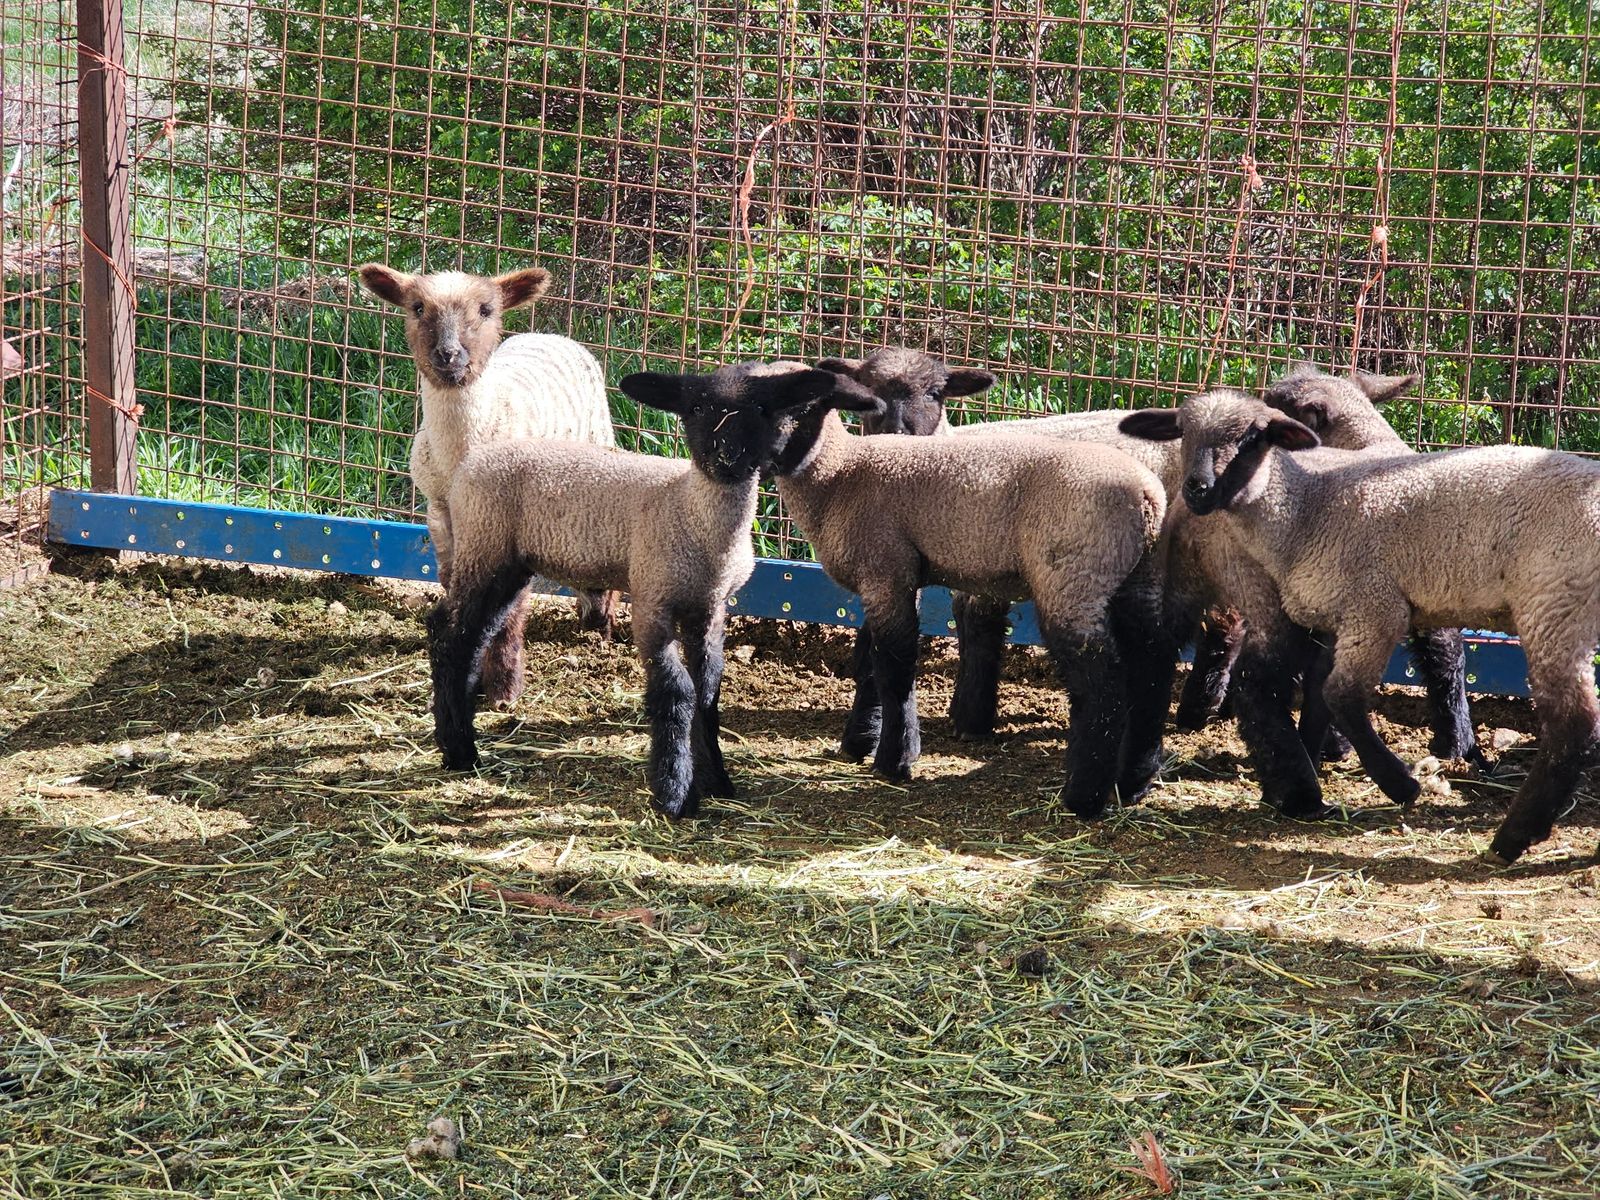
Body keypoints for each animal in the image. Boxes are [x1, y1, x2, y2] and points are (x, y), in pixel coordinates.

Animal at [359, 262, 617, 709]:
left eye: (485, 309)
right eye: (417, 307)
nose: (448, 355)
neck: (462, 456)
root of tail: (551, 334)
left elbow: (509, 608)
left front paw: (504, 690)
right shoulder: (440, 511)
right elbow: (455, 586)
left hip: (594, 444)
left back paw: (600, 620)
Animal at [428, 362, 879, 818]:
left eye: (761, 408)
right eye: (696, 408)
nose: (725, 455)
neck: (688, 510)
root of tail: (468, 466)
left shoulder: (709, 609)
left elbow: (708, 690)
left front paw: (716, 779)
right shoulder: (651, 600)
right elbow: (676, 689)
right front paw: (674, 794)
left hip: (507, 565)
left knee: (460, 633)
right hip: (486, 546)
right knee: (451, 638)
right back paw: (460, 751)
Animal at [771, 378, 1173, 818]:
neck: (838, 476)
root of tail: (1148, 497)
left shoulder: (884, 570)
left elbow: (893, 666)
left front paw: (893, 759)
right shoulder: (892, 577)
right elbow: (874, 662)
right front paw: (866, 742)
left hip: (1074, 578)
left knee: (1103, 684)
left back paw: (1083, 796)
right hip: (1138, 578)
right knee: (1152, 667)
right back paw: (1133, 782)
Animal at [1120, 388, 1600, 864]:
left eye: (1253, 438)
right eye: (1183, 432)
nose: (1197, 489)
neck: (1305, 512)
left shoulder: (1375, 608)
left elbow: (1341, 694)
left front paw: (1398, 784)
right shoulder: (1335, 619)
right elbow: (1319, 694)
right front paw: (1313, 768)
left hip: (1553, 602)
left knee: (1573, 722)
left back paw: (1513, 837)